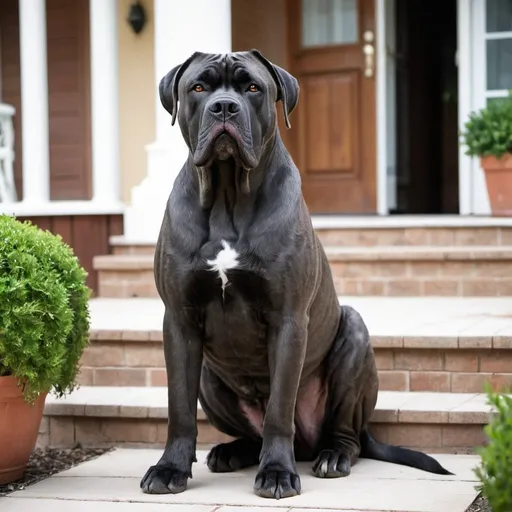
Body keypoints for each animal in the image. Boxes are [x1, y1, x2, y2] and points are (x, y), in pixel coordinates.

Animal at [141, 49, 452, 500]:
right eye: (198, 87)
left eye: (253, 87)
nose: (224, 107)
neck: (228, 196)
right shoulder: (180, 320)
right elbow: (178, 407)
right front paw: (170, 468)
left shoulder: (288, 319)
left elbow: (279, 408)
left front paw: (276, 473)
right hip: (210, 379)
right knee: (245, 429)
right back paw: (231, 451)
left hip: (353, 338)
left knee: (346, 435)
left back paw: (331, 456)